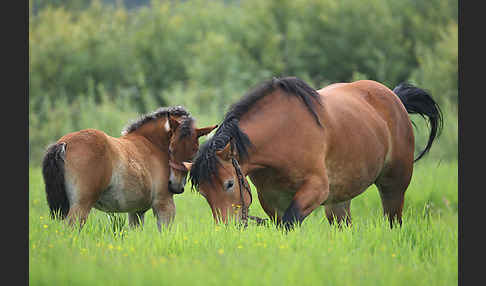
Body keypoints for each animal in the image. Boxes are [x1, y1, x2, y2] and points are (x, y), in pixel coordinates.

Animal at [41, 106, 216, 231]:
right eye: (171, 149)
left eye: (195, 151)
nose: (175, 186)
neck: (152, 144)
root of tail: (63, 143)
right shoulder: (164, 205)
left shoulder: (136, 211)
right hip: (80, 206)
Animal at [187, 77, 444, 229]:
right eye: (203, 193)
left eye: (229, 184)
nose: (227, 229)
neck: (282, 135)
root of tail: (395, 97)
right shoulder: (271, 199)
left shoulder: (316, 189)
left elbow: (289, 223)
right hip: (339, 201)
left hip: (394, 186)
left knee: (393, 220)